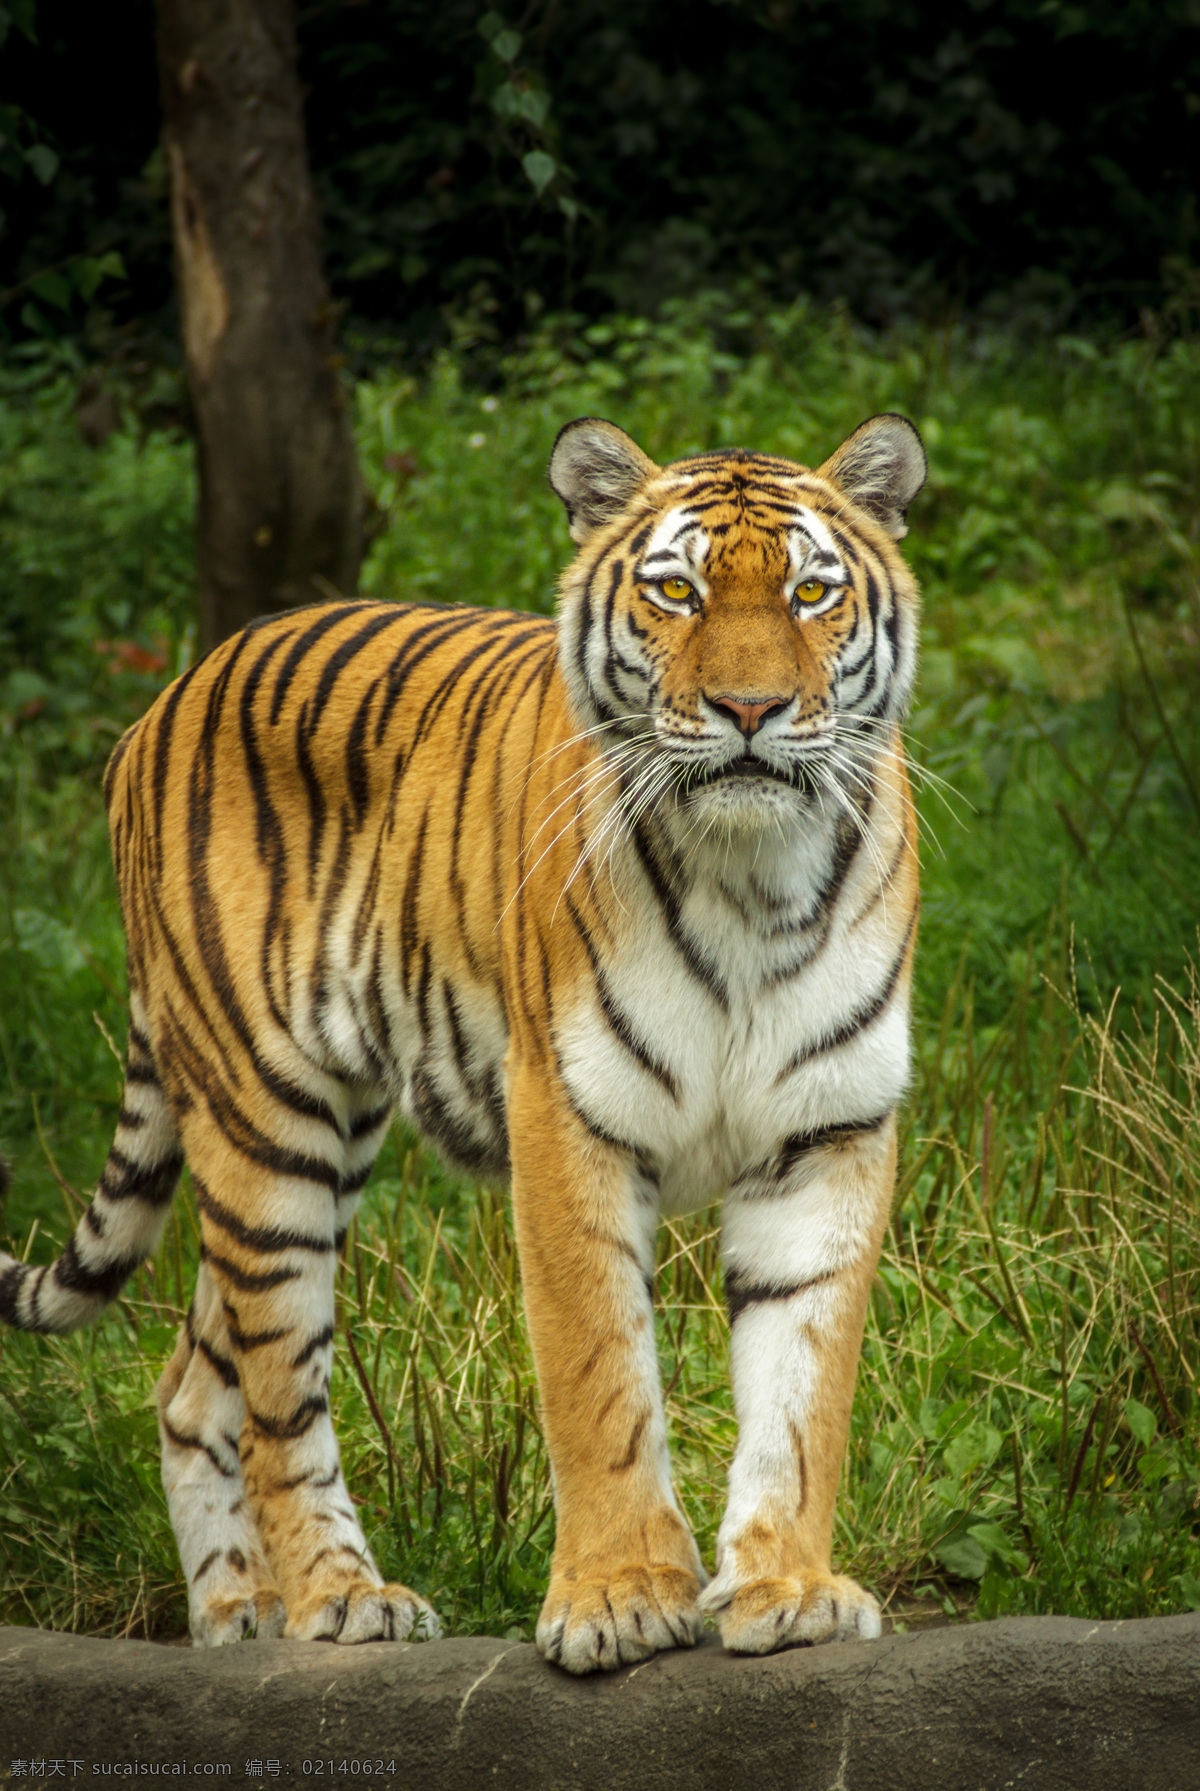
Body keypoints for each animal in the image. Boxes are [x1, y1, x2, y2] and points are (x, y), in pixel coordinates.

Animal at [0, 411, 924, 1669]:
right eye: (676, 591)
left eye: (811, 592)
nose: (749, 711)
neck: (753, 878)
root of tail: (167, 697)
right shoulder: (569, 1116)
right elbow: (599, 1377)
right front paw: (620, 1599)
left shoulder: (829, 1131)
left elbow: (804, 1387)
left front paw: (789, 1590)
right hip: (266, 1121)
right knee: (278, 1393)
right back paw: (338, 1599)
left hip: (315, 1137)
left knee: (194, 1381)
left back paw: (235, 1614)